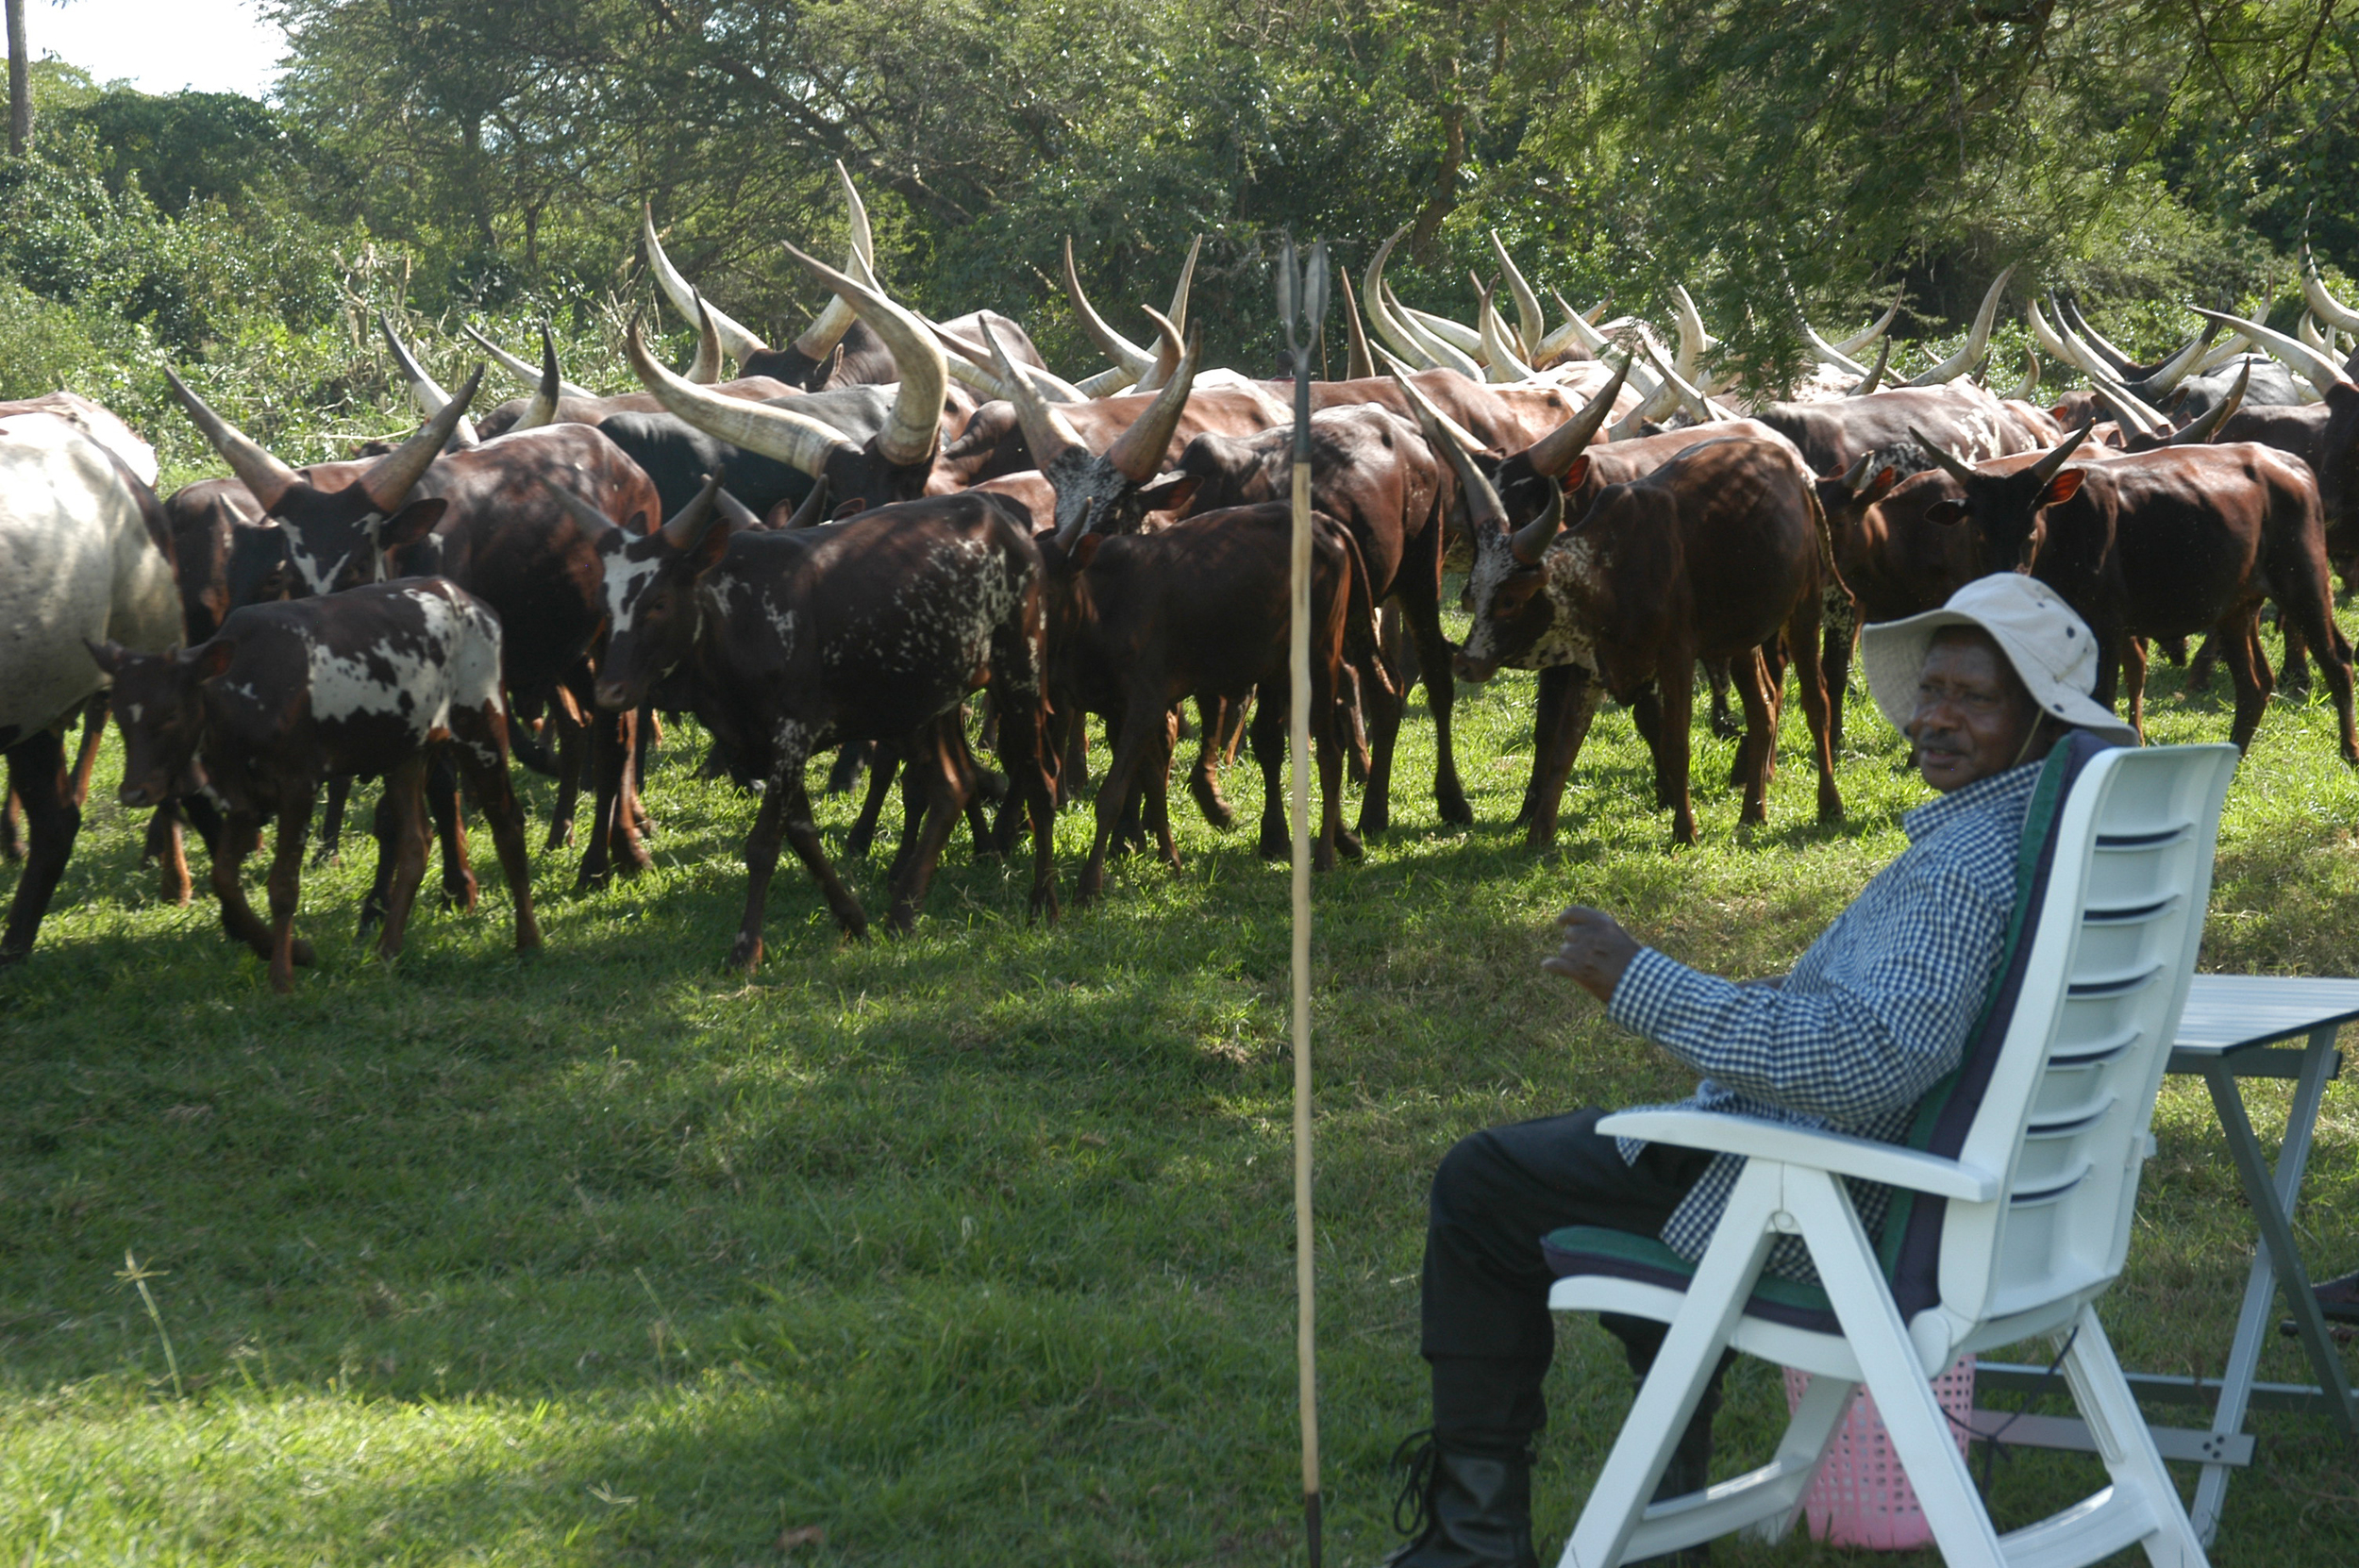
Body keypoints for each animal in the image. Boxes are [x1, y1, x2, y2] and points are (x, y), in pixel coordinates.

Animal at [88, 575, 540, 990]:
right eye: (122, 718)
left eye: (170, 715)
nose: (134, 791)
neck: (244, 691)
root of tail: (473, 603)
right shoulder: (243, 801)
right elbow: (224, 881)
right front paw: (292, 950)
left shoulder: (298, 787)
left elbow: (284, 887)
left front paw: (282, 975)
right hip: (405, 756)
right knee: (416, 841)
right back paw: (387, 950)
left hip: (481, 731)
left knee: (507, 825)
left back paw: (528, 942)